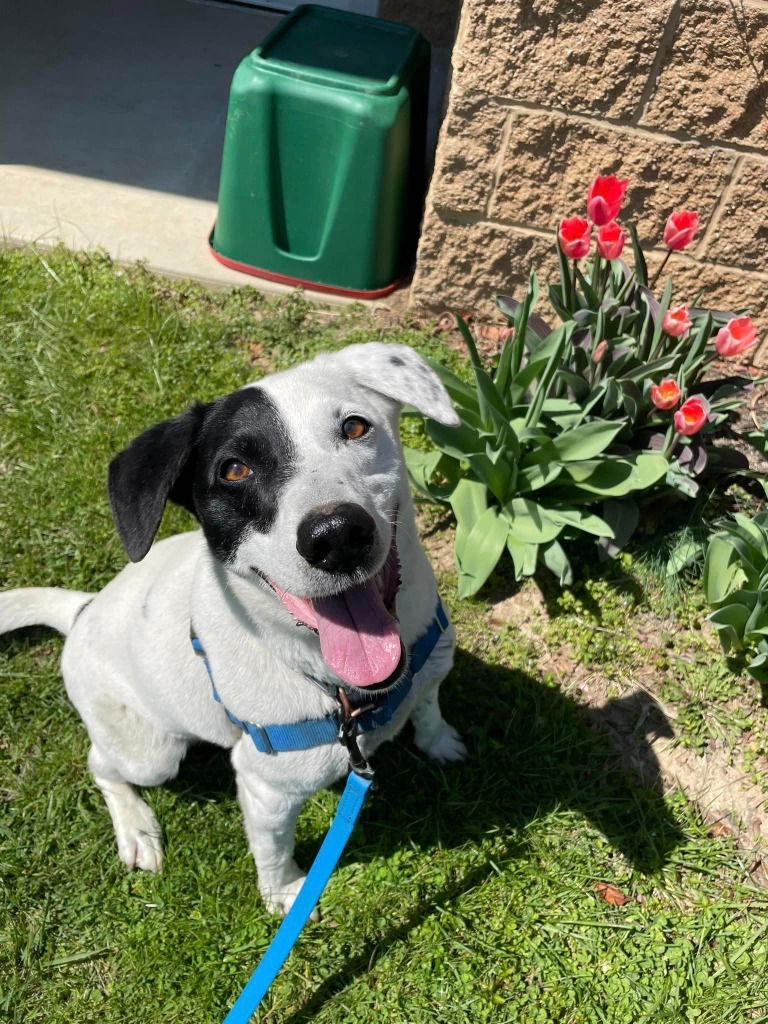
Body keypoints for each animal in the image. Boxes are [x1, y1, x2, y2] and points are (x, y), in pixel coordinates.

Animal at [0, 339, 466, 917]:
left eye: (355, 427)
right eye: (235, 470)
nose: (336, 535)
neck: (344, 690)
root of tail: (82, 610)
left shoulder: (430, 670)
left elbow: (428, 707)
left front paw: (439, 741)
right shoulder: (266, 789)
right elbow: (273, 850)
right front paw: (285, 894)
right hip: (152, 754)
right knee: (101, 765)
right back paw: (136, 829)